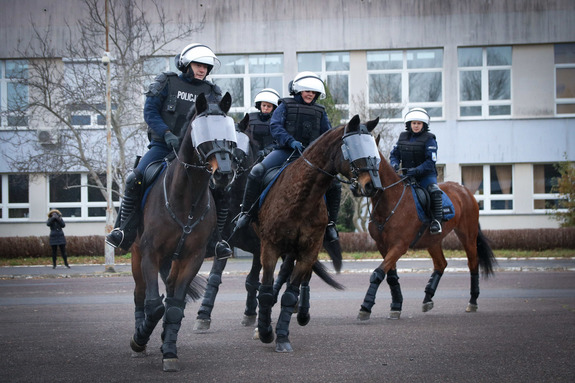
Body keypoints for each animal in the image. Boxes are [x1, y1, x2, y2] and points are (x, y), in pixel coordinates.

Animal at [129, 92, 237, 372]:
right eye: (203, 130)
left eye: (229, 130)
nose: (224, 174)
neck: (186, 199)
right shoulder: (150, 253)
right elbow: (154, 306)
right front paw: (140, 338)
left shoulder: (192, 257)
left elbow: (175, 307)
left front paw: (169, 351)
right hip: (136, 253)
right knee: (140, 294)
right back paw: (140, 338)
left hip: (174, 259)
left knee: (168, 294)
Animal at [255, 115, 382, 354]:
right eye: (353, 146)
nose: (373, 186)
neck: (302, 199)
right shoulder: (269, 247)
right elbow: (265, 289)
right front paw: (265, 331)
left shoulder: (309, 250)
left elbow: (290, 293)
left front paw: (282, 336)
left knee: (293, 276)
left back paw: (302, 311)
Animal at [358, 150, 498, 320]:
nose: (365, 185)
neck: (390, 201)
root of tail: (465, 191)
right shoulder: (383, 246)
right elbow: (390, 274)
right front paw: (395, 305)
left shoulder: (399, 246)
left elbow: (379, 272)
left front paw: (366, 306)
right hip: (433, 241)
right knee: (441, 264)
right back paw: (427, 297)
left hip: (468, 235)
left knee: (473, 263)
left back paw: (472, 301)